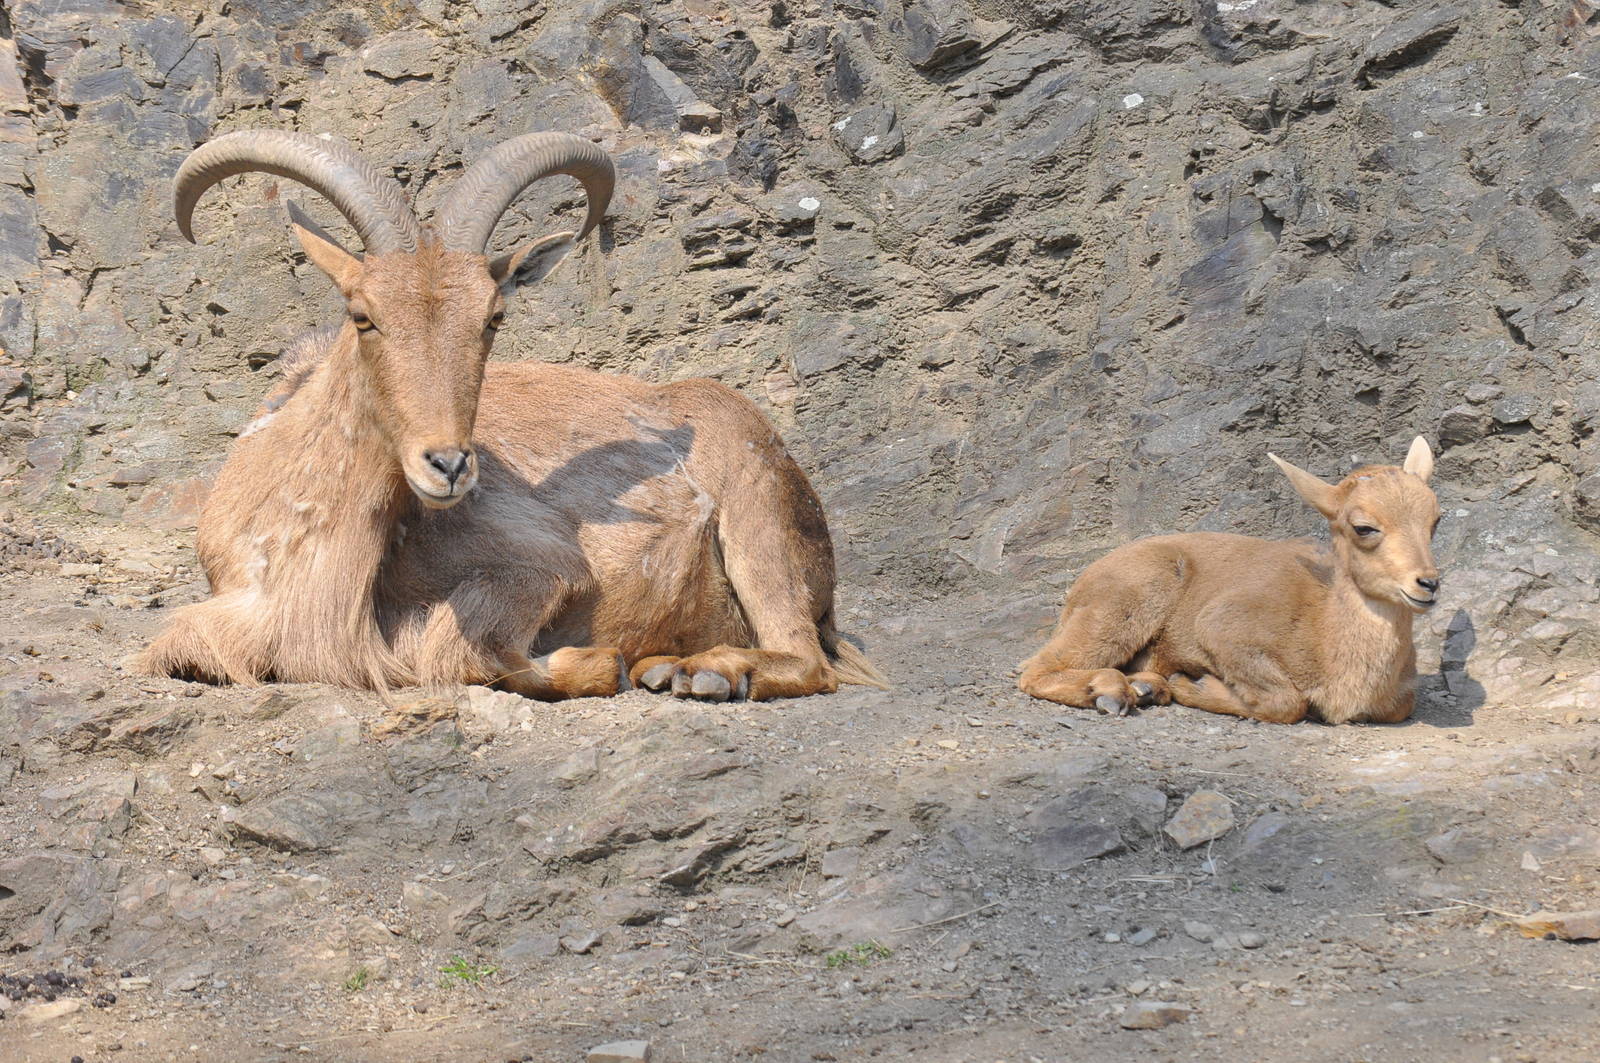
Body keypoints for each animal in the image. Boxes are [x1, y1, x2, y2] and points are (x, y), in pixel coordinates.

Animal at [138, 129, 884, 702]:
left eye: (492, 318)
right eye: (363, 315)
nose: (448, 465)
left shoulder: (541, 564)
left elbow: (460, 652)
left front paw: (597, 662)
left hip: (760, 525)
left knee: (804, 658)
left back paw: (702, 673)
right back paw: (668, 667)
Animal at [1018, 437, 1441, 724]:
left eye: (1435, 520)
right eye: (1364, 527)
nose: (1428, 583)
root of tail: (1081, 585)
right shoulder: (1223, 626)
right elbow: (1286, 702)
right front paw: (1195, 685)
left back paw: (1145, 687)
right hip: (1125, 602)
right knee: (1035, 669)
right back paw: (1112, 691)